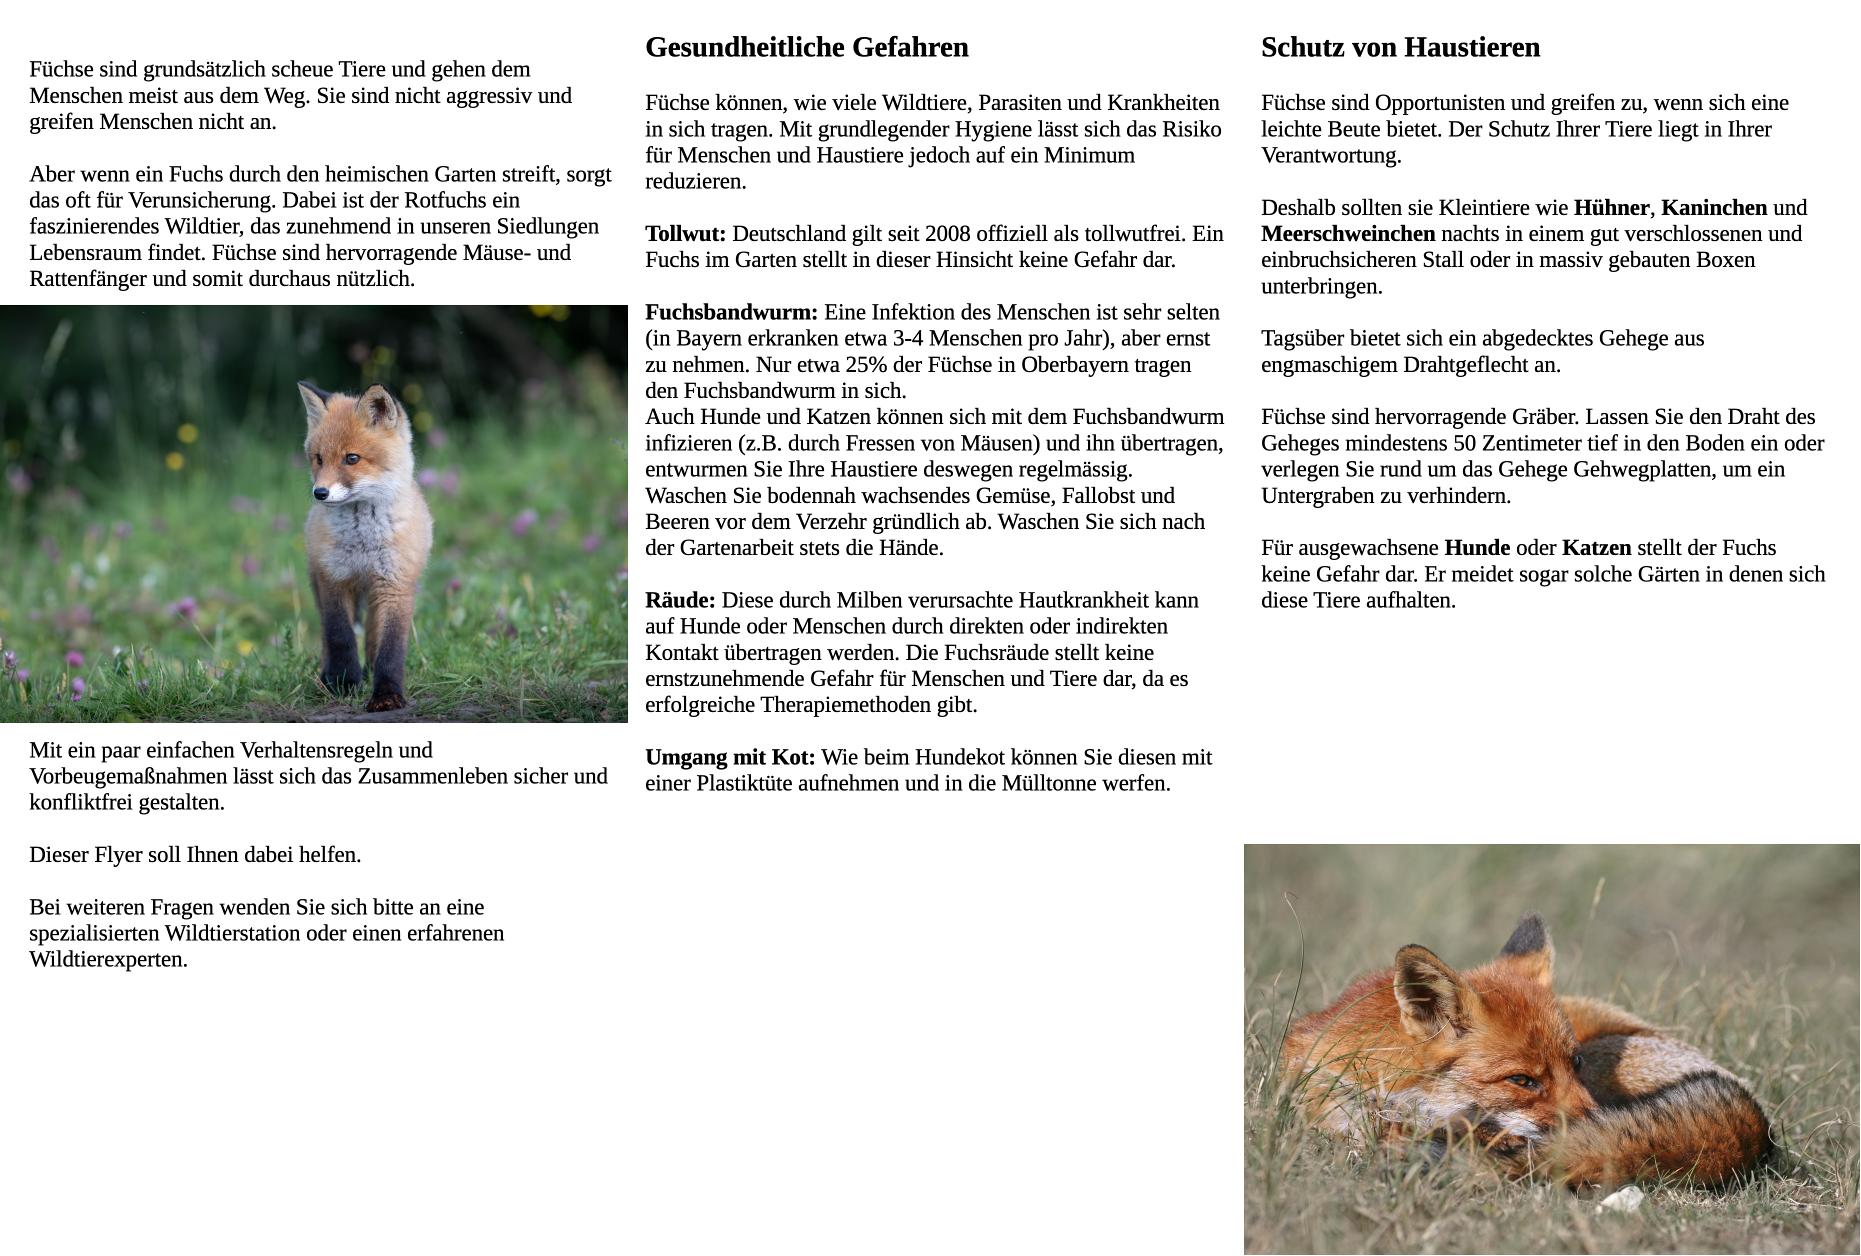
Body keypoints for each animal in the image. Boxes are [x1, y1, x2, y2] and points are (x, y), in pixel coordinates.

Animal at [298, 381, 433, 712]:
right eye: (319, 458)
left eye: (352, 458)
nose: (320, 493)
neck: (363, 542)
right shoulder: (334, 579)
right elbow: (340, 637)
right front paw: (344, 684)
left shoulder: (395, 585)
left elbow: (390, 649)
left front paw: (386, 694)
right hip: (318, 584)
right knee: (327, 638)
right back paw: (326, 677)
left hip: (375, 596)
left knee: (372, 638)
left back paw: (369, 671)